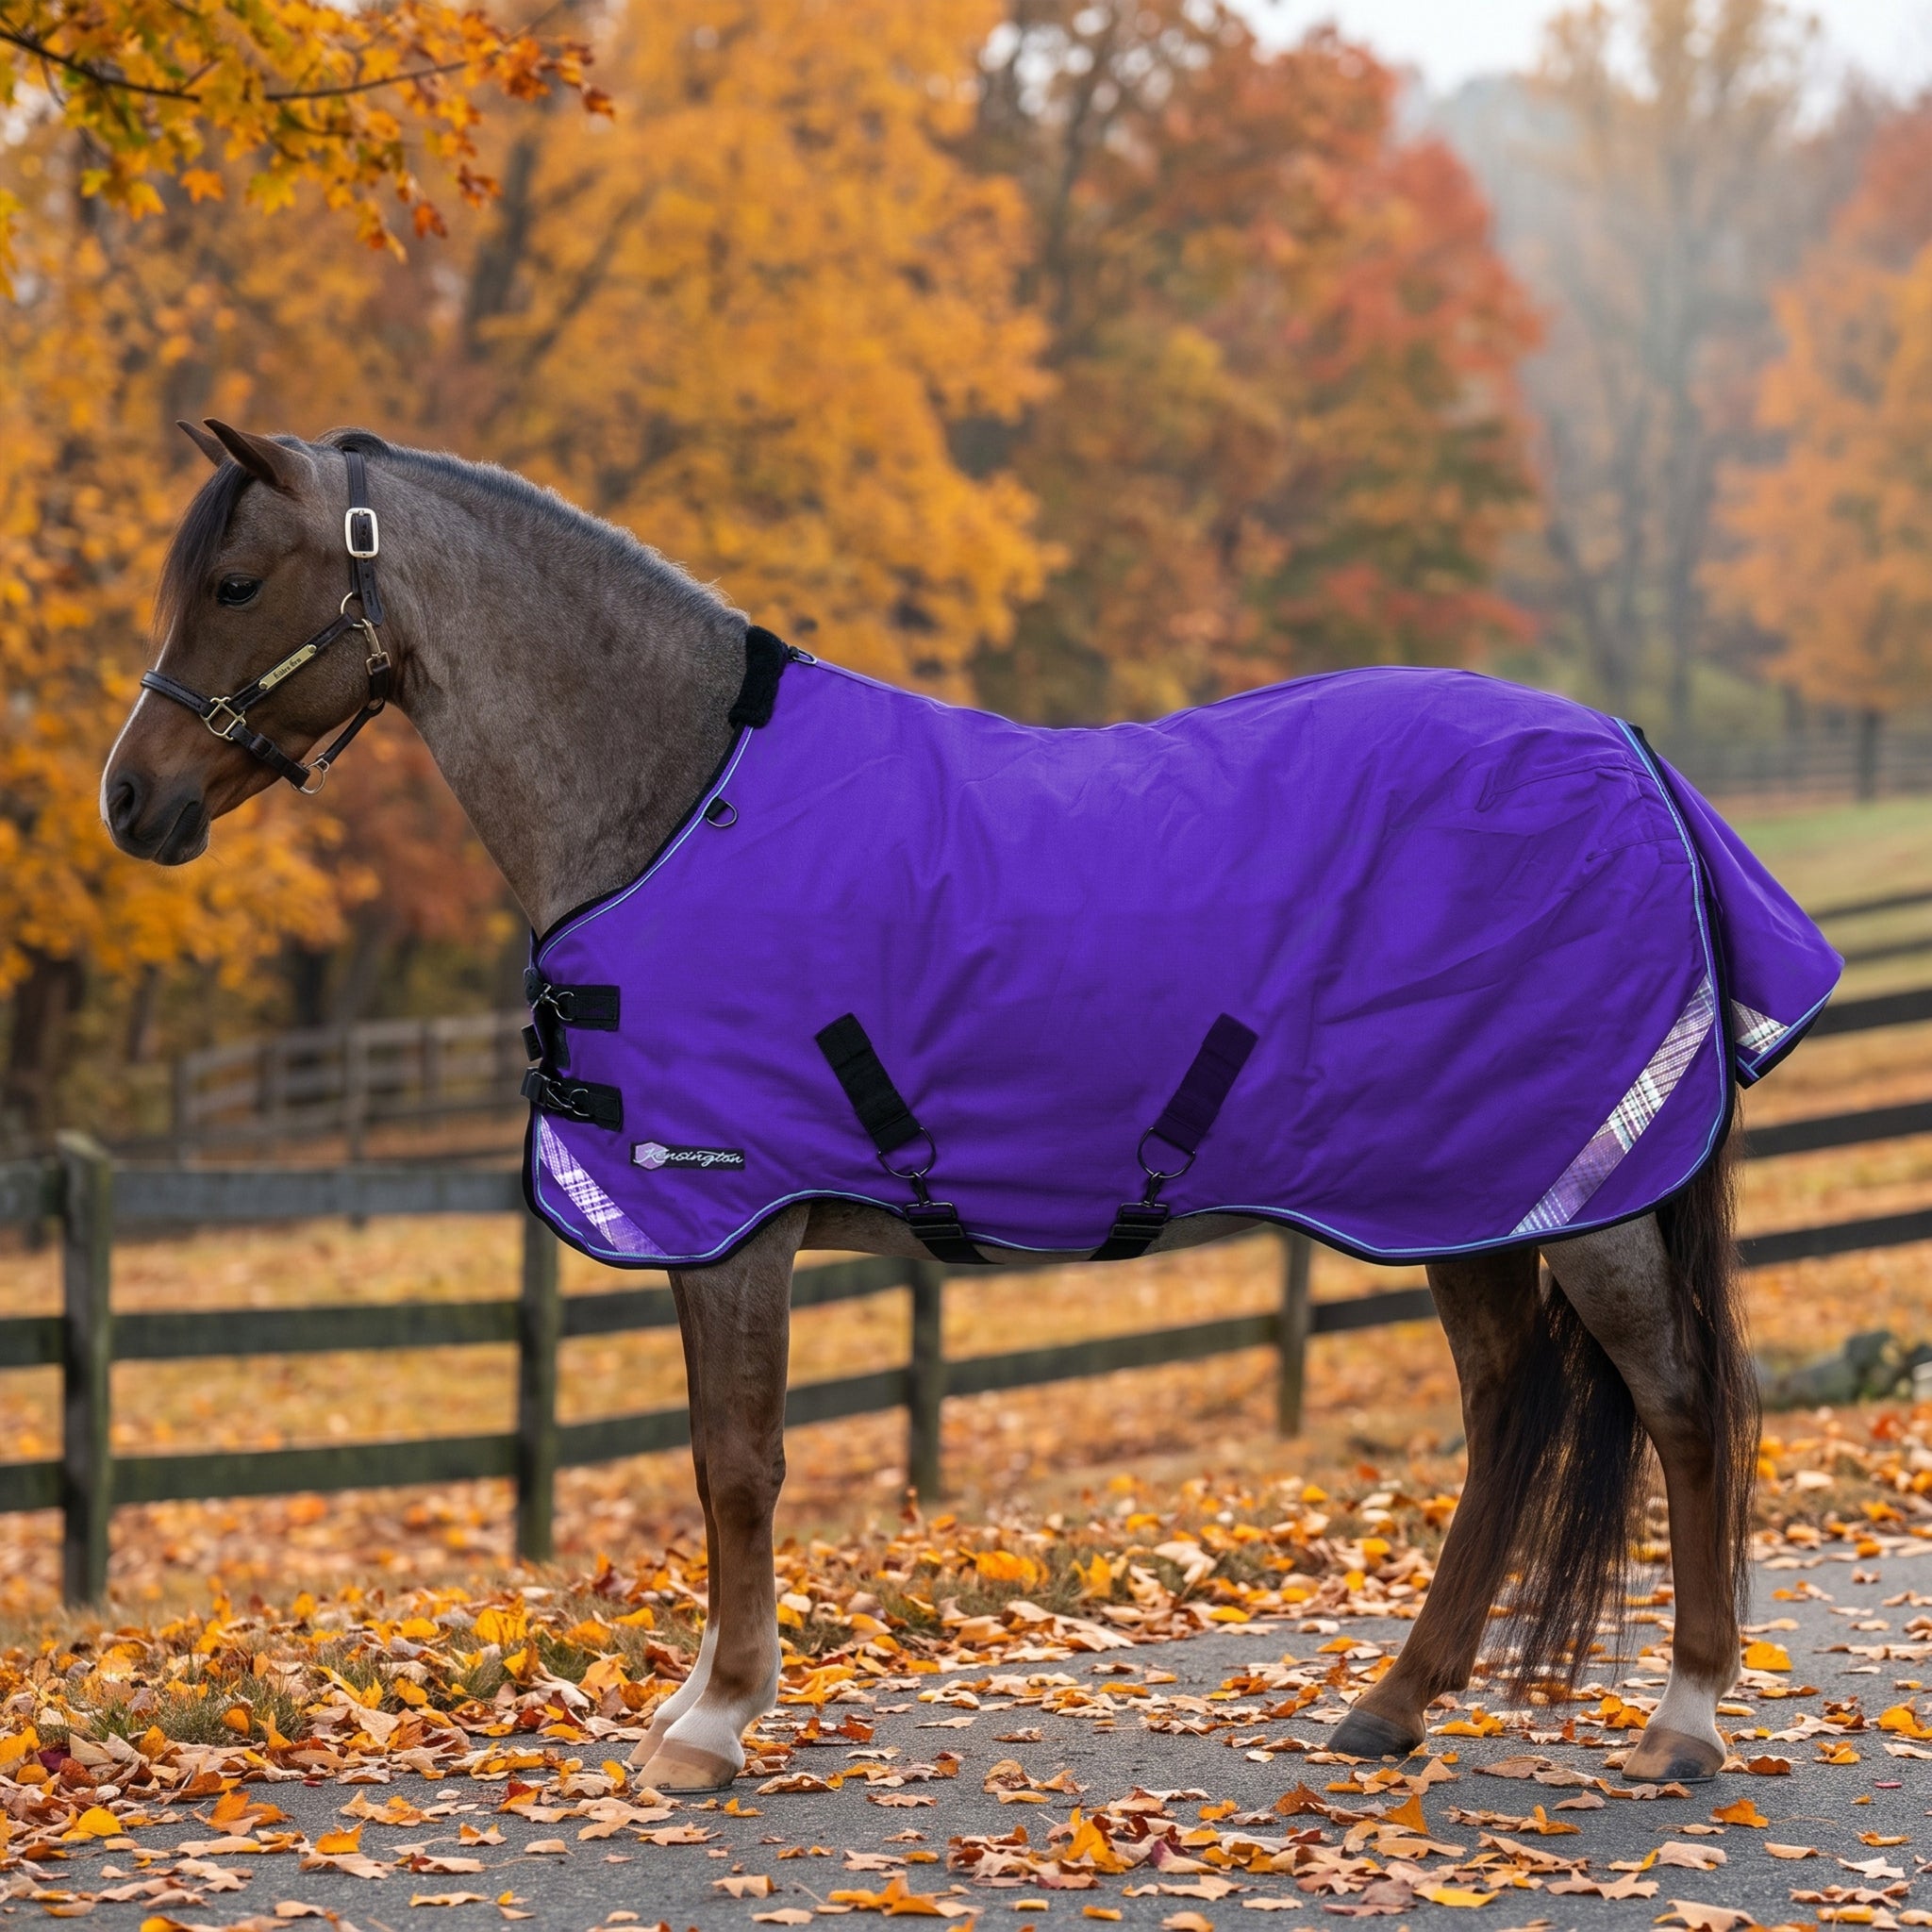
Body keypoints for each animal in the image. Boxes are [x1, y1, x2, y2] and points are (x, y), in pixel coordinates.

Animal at [102, 420, 1823, 1794]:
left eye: (236, 583)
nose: (132, 800)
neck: (674, 799)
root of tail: (1631, 758)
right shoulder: (709, 1233)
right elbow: (709, 1458)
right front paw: (695, 1698)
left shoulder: (732, 1215)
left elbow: (739, 1461)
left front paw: (711, 1724)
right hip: (1465, 1199)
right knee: (1506, 1407)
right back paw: (1395, 1703)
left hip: (1580, 1197)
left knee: (1681, 1407)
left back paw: (1682, 1719)